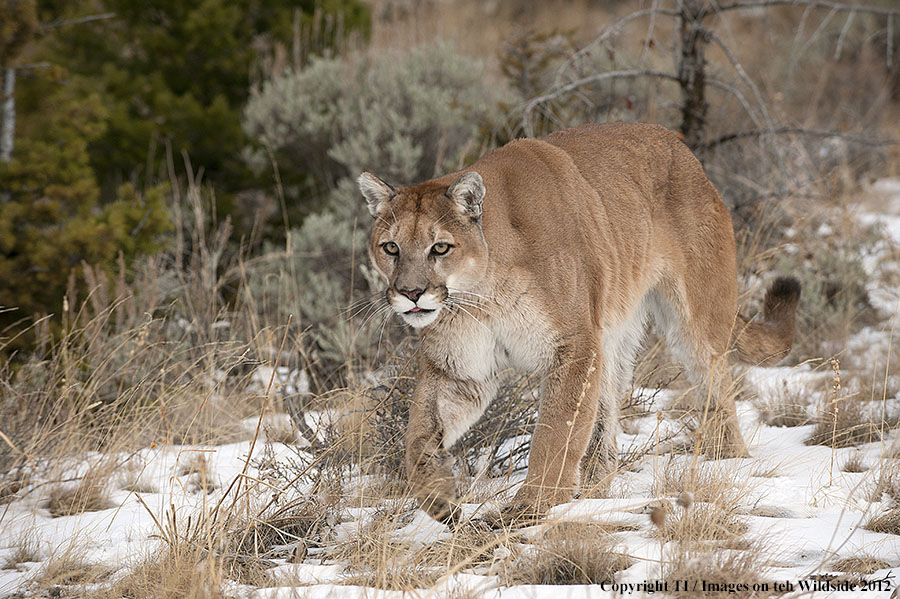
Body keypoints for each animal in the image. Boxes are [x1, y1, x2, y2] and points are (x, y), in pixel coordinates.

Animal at [357, 122, 800, 526]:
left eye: (440, 248)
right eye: (391, 247)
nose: (411, 293)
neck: (483, 293)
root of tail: (677, 143)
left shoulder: (573, 344)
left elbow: (556, 430)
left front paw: (531, 505)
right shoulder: (460, 368)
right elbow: (418, 435)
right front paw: (438, 497)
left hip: (695, 322)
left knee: (717, 391)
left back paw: (729, 461)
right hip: (614, 335)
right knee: (605, 420)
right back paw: (593, 494)